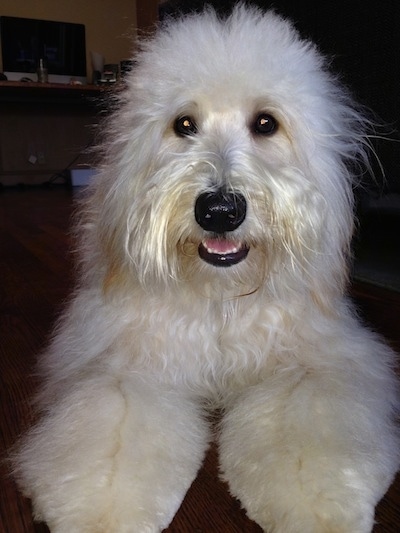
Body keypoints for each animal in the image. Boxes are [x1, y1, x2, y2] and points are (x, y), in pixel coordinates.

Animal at [13, 5, 400, 532]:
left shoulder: (311, 365)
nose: (219, 210)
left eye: (265, 123)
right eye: (184, 124)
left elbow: (309, 439)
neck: (219, 295)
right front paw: (103, 514)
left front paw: (317, 507)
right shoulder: (130, 369)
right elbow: (112, 443)